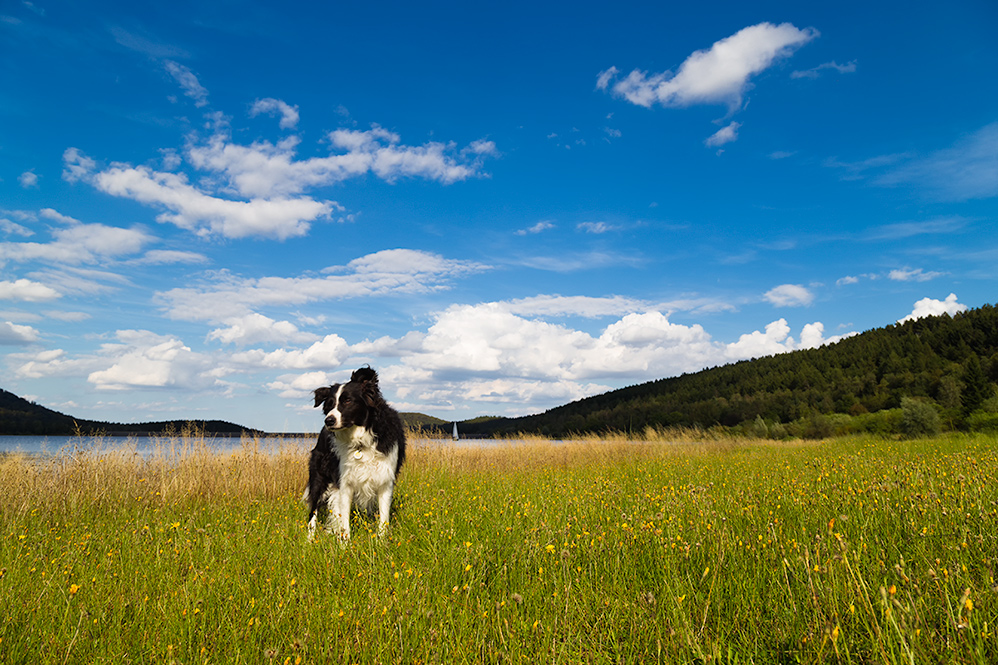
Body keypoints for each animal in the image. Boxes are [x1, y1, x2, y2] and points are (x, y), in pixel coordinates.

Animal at [308, 366, 410, 544]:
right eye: (329, 405)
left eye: (348, 401)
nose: (328, 421)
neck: (360, 442)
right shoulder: (344, 481)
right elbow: (344, 518)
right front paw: (345, 545)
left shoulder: (385, 479)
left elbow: (384, 516)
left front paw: (381, 542)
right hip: (319, 475)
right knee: (313, 510)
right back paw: (309, 539)